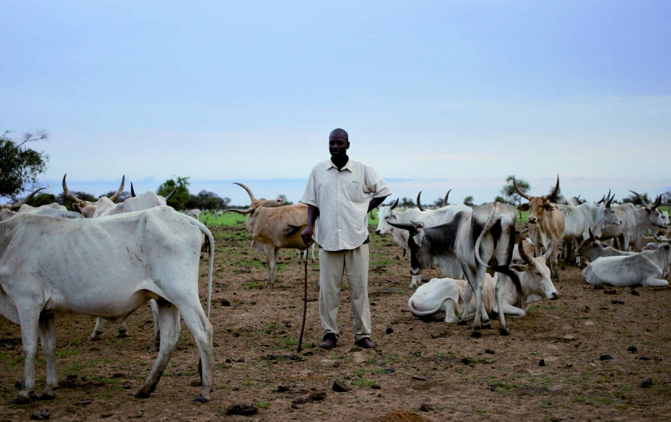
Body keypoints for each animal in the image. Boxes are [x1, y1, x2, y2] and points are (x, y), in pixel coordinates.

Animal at [0, 206, 215, 404]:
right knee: (169, 339)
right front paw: (48, 389)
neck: (9, 238)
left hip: (181, 293)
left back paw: (205, 391)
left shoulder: (27, 302)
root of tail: (186, 219)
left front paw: (25, 391)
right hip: (166, 300)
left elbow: (29, 347)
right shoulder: (46, 311)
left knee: (203, 331)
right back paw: (145, 388)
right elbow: (49, 347)